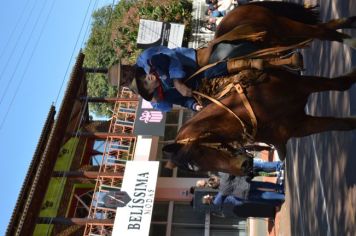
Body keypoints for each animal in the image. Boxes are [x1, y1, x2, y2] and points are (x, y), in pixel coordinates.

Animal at [161, 68, 356, 175]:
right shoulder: (298, 126)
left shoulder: (301, 85)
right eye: (197, 169)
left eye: (199, 155)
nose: (245, 167)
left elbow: (342, 84)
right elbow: (342, 125)